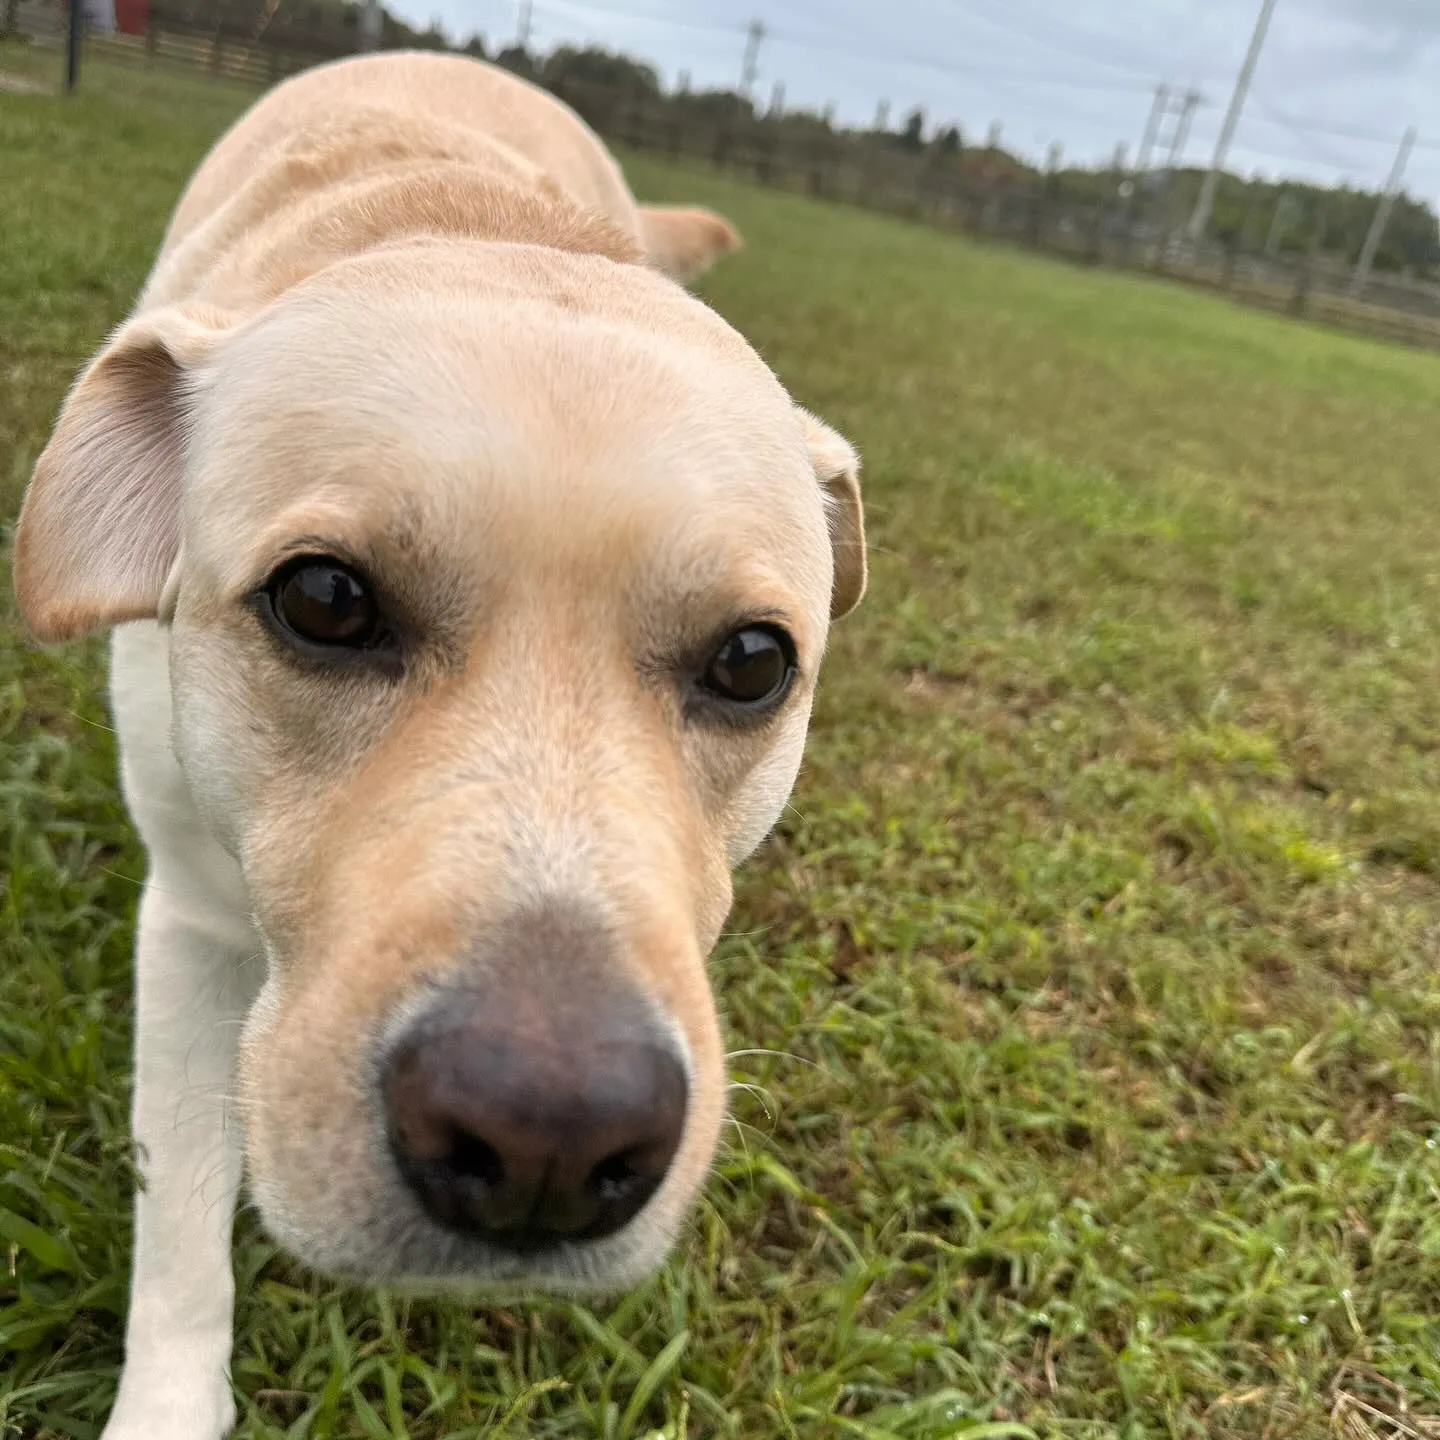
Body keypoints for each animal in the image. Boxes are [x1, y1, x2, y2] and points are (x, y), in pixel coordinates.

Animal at [14, 47, 864, 1440]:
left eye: (752, 663)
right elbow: (178, 1214)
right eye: (323, 599)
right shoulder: (187, 917)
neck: (474, 226)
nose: (549, 1142)